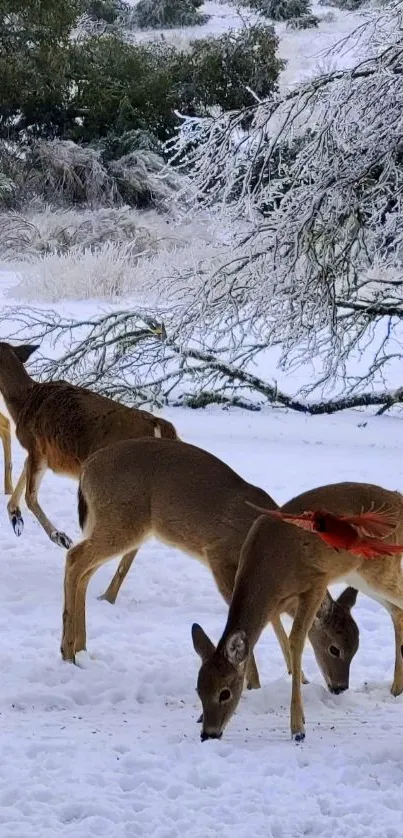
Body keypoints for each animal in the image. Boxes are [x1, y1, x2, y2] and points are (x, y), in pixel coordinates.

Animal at [0, 342, 178, 552]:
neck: (23, 402)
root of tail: (156, 424)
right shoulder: (40, 451)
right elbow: (25, 477)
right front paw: (15, 516)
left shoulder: (36, 446)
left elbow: (30, 496)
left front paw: (59, 537)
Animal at [59, 436, 360, 700]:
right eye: (334, 648)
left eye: (356, 645)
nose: (340, 687)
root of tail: (87, 468)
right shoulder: (219, 556)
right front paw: (253, 683)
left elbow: (274, 619)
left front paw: (300, 678)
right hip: (122, 520)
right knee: (74, 557)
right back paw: (67, 651)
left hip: (112, 524)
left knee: (85, 571)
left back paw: (81, 648)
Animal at [191, 482, 403, 744]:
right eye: (199, 689)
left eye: (225, 693)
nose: (209, 734)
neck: (271, 567)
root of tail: (398, 499)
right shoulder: (280, 602)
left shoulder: (316, 582)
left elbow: (296, 641)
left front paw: (298, 728)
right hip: (360, 576)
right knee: (395, 610)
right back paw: (396, 688)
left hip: (380, 568)